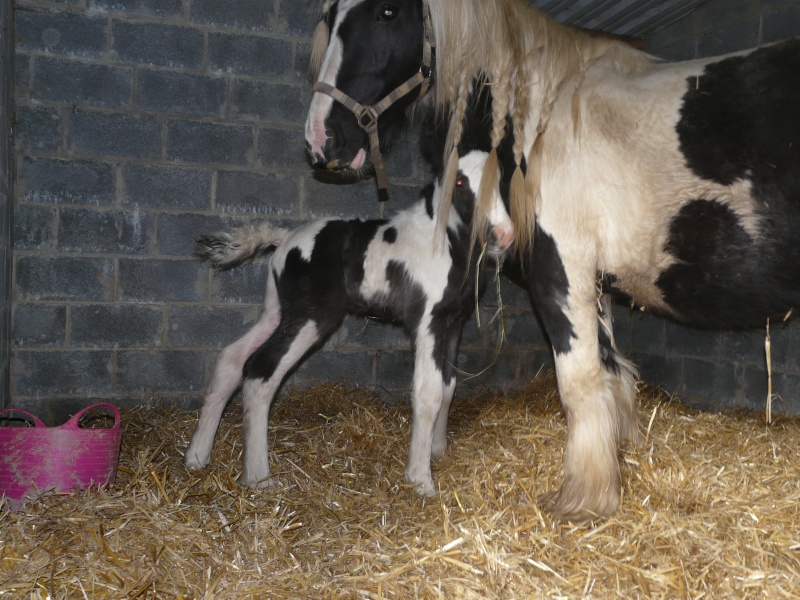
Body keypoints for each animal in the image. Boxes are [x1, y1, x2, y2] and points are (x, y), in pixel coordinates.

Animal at [185, 151, 512, 496]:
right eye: (460, 182)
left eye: (502, 176)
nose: (503, 235)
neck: (443, 241)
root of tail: (285, 238)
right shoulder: (428, 321)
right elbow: (428, 393)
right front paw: (420, 480)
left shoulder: (453, 323)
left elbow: (448, 387)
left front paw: (438, 452)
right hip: (312, 317)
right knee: (262, 371)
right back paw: (259, 477)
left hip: (278, 312)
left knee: (232, 358)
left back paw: (197, 457)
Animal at [304, 0, 800, 524]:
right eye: (329, 18)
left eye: (386, 12)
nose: (322, 139)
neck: (542, 121)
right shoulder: (596, 283)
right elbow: (613, 373)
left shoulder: (561, 270)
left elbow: (580, 384)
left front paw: (584, 499)